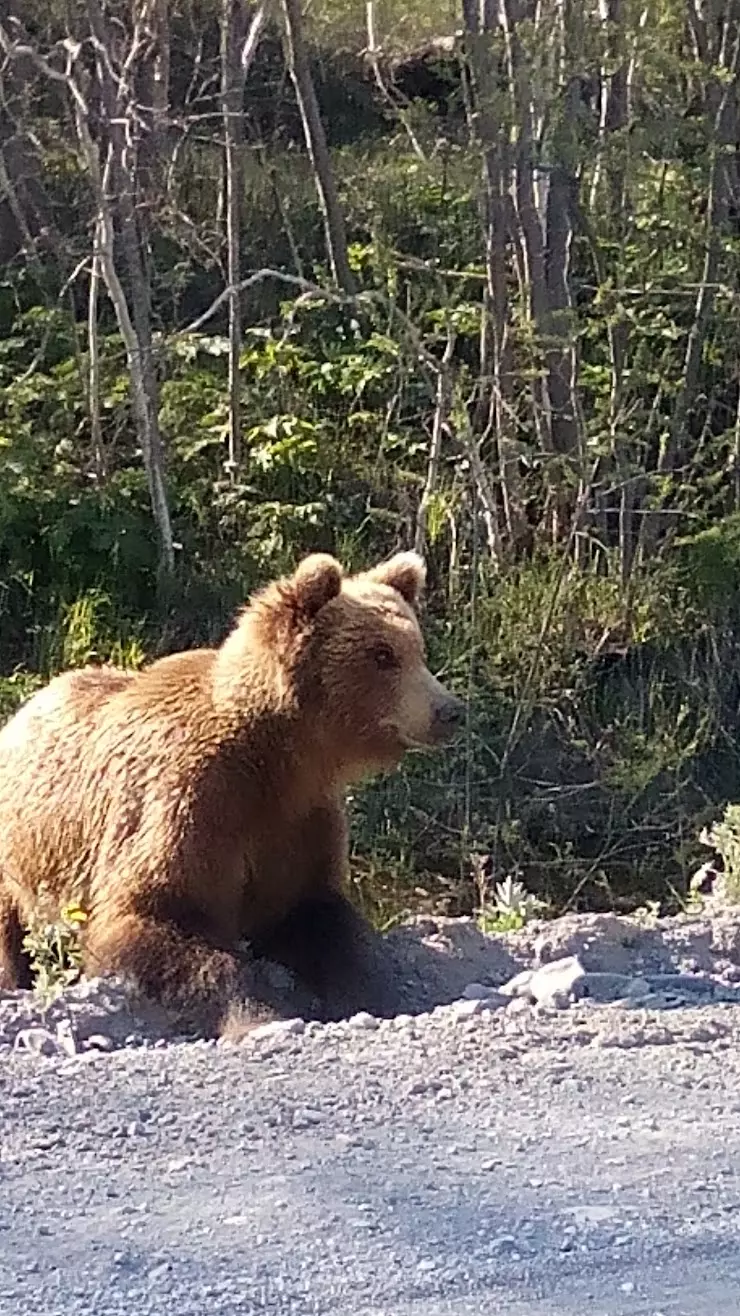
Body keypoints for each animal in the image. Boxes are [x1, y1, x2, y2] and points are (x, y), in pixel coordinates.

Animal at [0, 550, 460, 1031]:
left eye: (417, 650)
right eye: (382, 655)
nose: (450, 710)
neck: (281, 757)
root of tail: (26, 708)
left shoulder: (299, 822)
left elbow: (323, 917)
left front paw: (376, 991)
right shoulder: (193, 806)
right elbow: (154, 917)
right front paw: (259, 1013)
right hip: (21, 862)